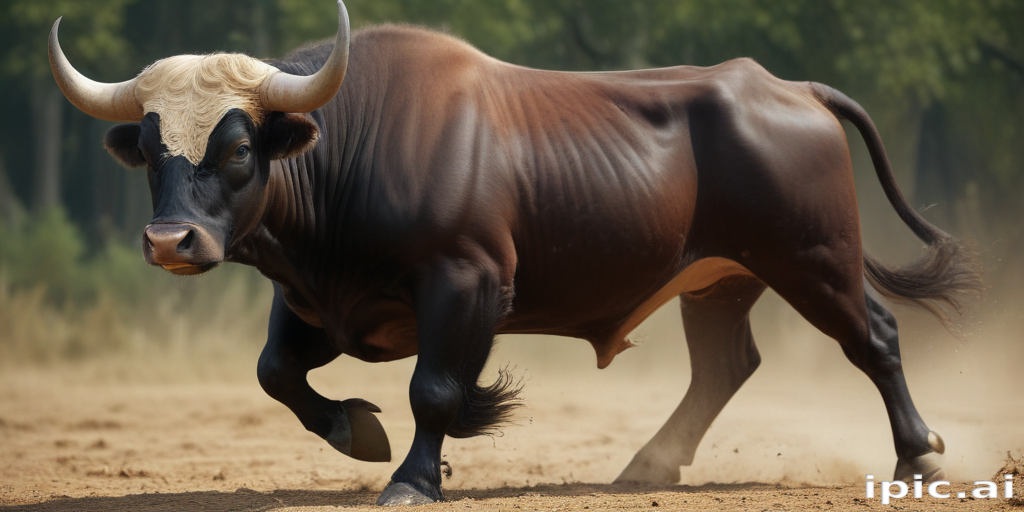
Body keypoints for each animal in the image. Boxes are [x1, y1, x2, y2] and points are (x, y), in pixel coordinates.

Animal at [49, 0, 980, 506]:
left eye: (240, 148)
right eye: (153, 151)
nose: (171, 241)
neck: (357, 148)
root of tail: (787, 88)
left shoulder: (466, 285)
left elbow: (434, 389)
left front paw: (414, 477)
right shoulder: (315, 301)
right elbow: (275, 373)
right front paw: (357, 431)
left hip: (814, 258)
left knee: (875, 337)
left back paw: (919, 455)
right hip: (720, 280)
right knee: (727, 364)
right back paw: (649, 464)